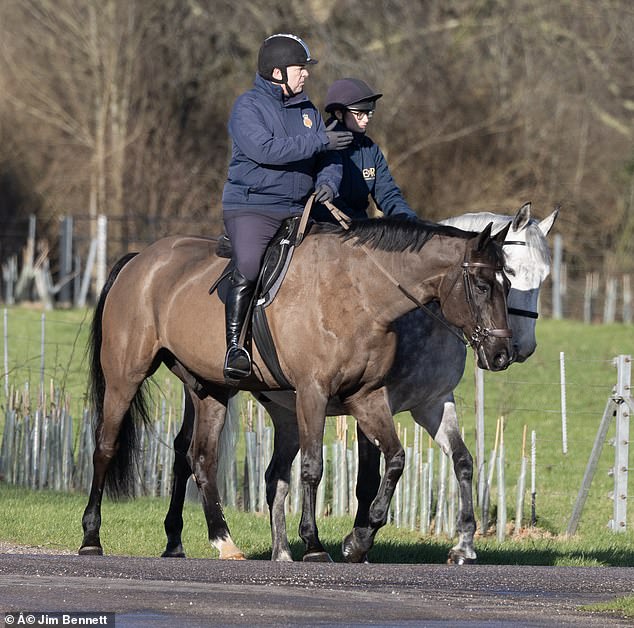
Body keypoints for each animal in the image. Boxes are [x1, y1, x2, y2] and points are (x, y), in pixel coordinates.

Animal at [80, 217, 512, 560]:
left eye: (508, 284)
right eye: (482, 284)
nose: (502, 354)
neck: (360, 294)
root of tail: (141, 259)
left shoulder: (368, 396)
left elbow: (396, 460)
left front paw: (360, 537)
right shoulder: (312, 394)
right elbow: (312, 468)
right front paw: (315, 544)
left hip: (209, 388)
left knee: (199, 457)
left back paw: (219, 541)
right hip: (125, 376)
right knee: (106, 447)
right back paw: (91, 537)